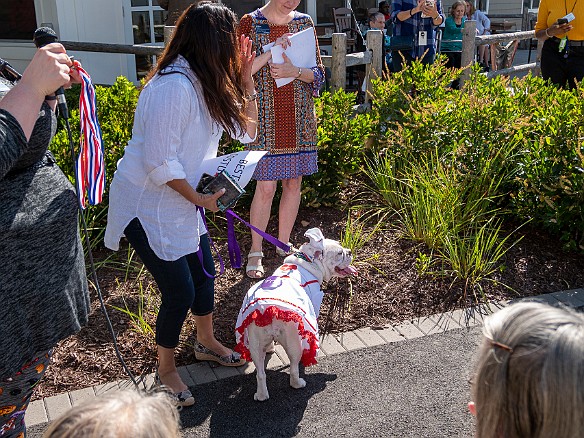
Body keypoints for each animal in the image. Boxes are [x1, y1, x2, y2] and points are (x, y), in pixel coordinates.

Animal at [234, 228, 356, 402]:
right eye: (340, 253)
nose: (349, 251)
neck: (309, 262)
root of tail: (269, 308)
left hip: (255, 343)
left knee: (260, 373)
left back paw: (262, 395)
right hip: (293, 342)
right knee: (293, 367)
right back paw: (298, 383)